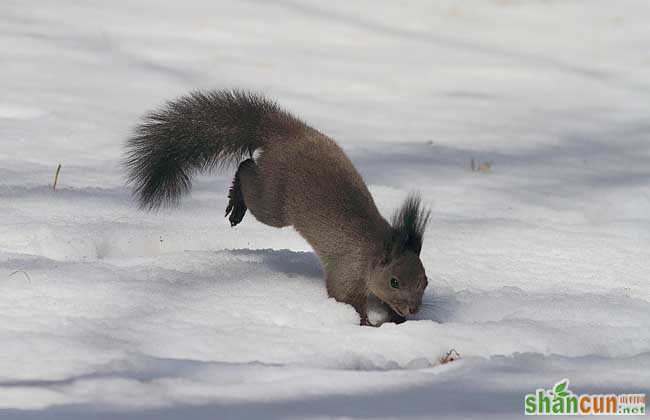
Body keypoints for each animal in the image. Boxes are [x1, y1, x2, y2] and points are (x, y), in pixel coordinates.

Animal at [124, 90, 430, 326]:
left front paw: (397, 320)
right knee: (247, 168)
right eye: (393, 281)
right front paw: (366, 324)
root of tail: (287, 133)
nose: (413, 309)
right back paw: (237, 199)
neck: (374, 249)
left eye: (425, 281)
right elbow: (345, 299)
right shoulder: (347, 268)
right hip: (273, 201)